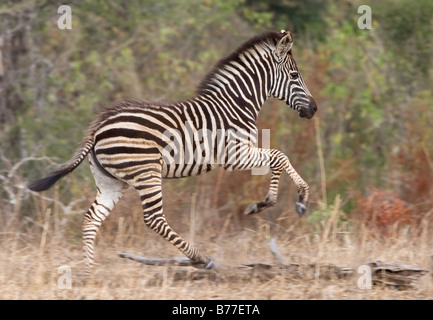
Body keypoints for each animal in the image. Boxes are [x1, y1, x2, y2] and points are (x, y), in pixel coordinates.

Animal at [27, 30, 318, 276]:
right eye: (295, 76)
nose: (314, 109)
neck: (234, 105)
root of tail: (99, 125)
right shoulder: (234, 154)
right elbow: (279, 156)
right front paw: (298, 199)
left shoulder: (238, 154)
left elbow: (277, 159)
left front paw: (263, 203)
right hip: (146, 173)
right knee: (154, 219)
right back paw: (200, 258)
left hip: (110, 181)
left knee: (91, 219)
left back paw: (88, 274)